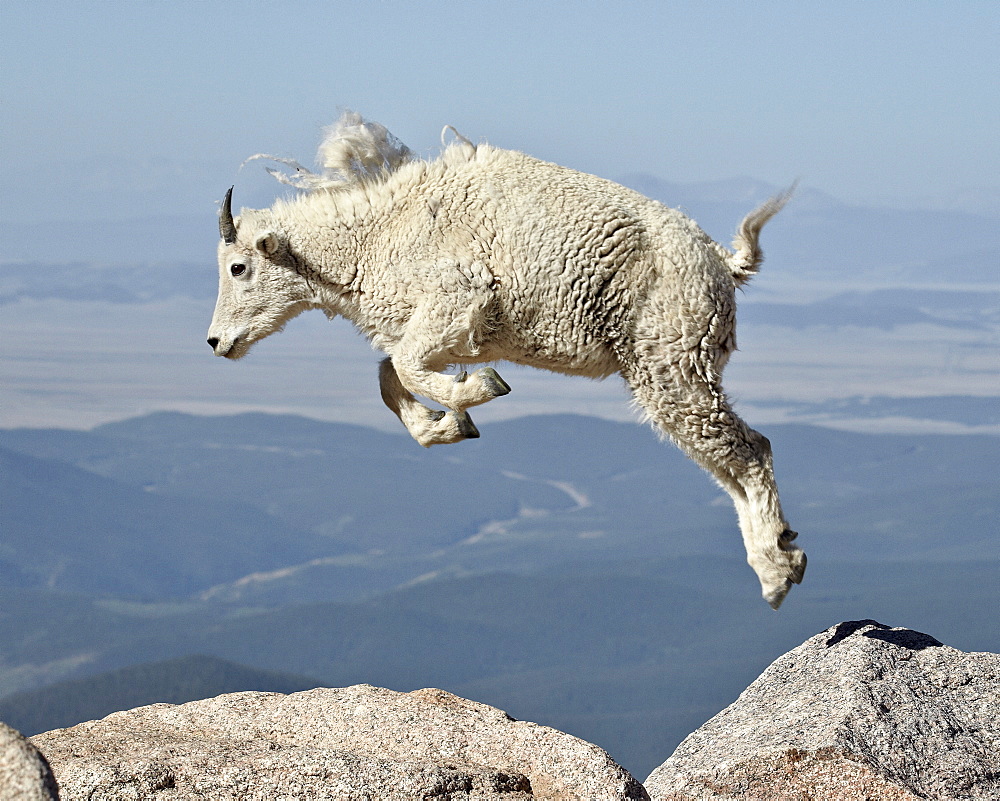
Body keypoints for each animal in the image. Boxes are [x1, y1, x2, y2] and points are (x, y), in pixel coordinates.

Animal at [209, 112, 804, 608]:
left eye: (238, 267)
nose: (216, 342)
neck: (373, 238)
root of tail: (724, 264)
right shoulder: (450, 331)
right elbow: (388, 373)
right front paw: (448, 425)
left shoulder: (457, 296)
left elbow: (405, 366)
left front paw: (478, 392)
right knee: (727, 461)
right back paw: (779, 553)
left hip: (670, 360)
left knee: (750, 450)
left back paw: (777, 571)